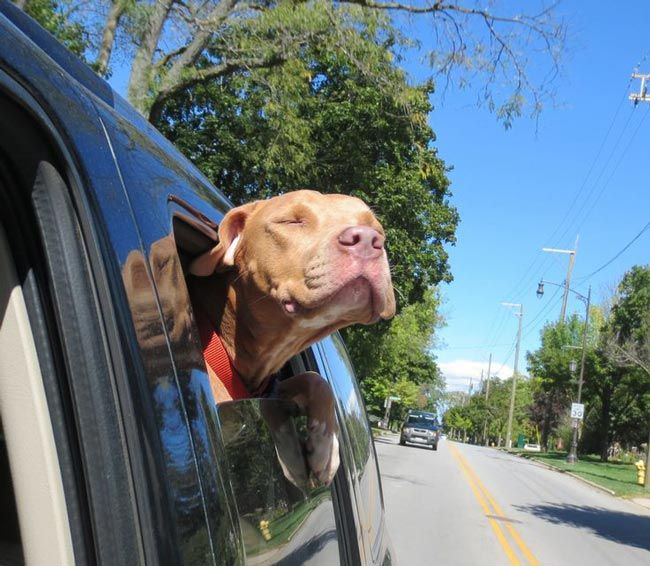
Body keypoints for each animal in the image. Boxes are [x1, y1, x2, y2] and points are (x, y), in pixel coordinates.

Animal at [185, 191, 392, 484]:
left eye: (376, 229)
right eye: (292, 221)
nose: (368, 240)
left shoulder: (271, 387)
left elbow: (314, 380)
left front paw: (324, 449)